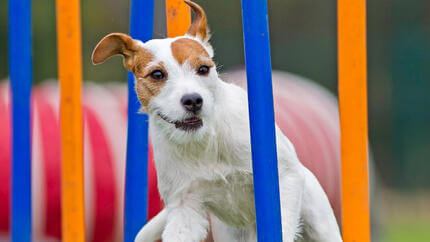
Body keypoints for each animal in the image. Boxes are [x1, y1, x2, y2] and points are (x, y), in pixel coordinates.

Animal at [91, 0, 342, 241]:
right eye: (157, 74)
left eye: (203, 68)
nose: (193, 100)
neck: (204, 142)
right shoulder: (185, 206)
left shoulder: (284, 177)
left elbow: (283, 221)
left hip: (319, 222)